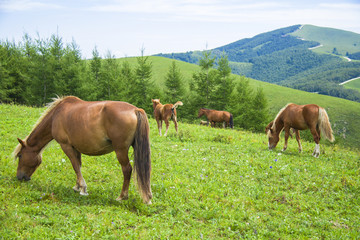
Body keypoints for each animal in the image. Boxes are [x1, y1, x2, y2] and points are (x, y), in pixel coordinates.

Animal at [12, 96, 152, 203]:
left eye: (20, 156)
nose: (19, 177)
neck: (56, 114)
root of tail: (135, 110)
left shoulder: (66, 146)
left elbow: (74, 165)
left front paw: (83, 188)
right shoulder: (76, 147)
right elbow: (78, 165)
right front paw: (77, 186)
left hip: (121, 150)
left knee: (127, 170)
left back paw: (122, 196)